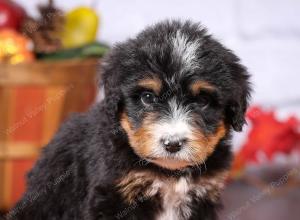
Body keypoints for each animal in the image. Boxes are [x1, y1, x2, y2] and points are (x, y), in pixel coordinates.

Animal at [10, 20, 251, 220]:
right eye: (147, 97)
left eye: (202, 101)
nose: (172, 144)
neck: (169, 174)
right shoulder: (113, 196)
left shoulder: (202, 196)